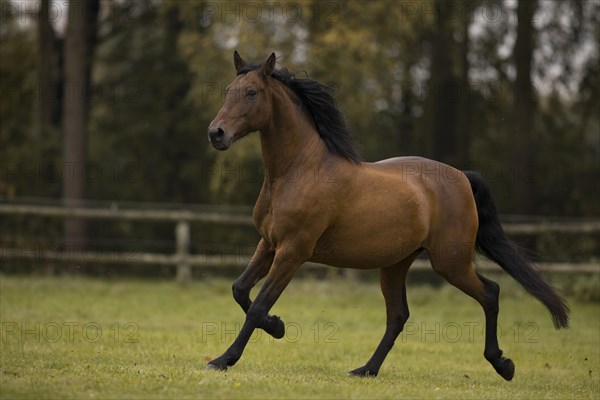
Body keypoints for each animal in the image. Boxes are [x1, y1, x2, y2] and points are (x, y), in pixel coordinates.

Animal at [204, 51, 568, 380]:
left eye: (252, 92)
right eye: (228, 90)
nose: (216, 133)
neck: (298, 170)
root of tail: (462, 177)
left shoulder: (293, 250)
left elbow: (258, 305)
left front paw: (224, 359)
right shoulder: (269, 244)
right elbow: (240, 289)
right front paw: (276, 327)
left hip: (449, 261)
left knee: (490, 292)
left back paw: (502, 364)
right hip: (396, 264)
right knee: (398, 316)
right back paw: (366, 369)